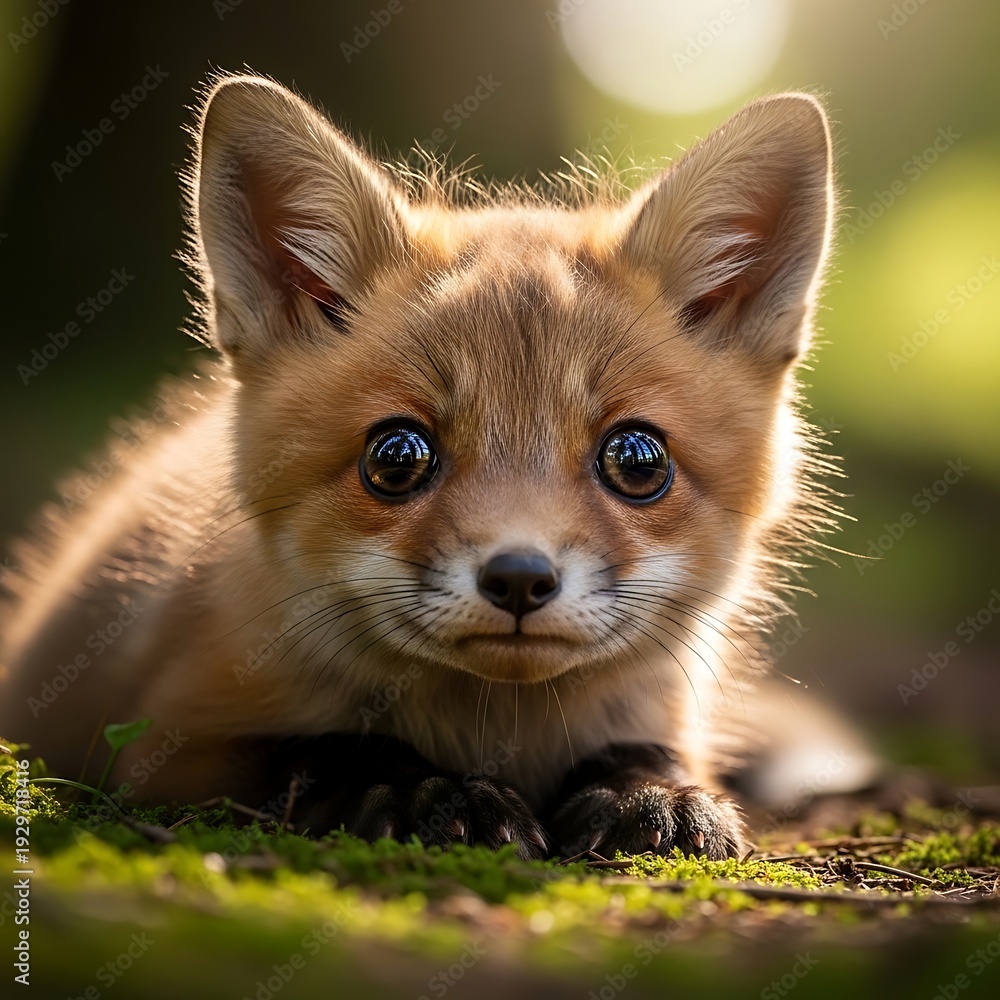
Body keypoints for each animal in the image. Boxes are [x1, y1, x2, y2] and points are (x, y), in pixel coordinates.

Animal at [0, 74, 842, 860]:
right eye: (397, 456)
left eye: (636, 459)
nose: (519, 579)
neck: (497, 733)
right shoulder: (163, 743)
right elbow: (331, 748)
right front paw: (431, 793)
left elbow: (648, 752)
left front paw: (654, 793)